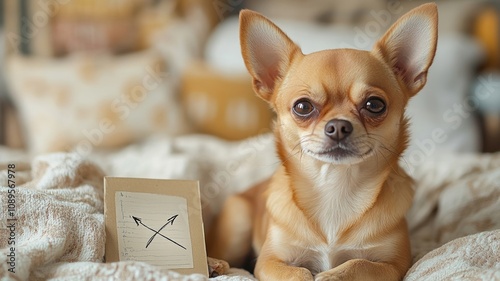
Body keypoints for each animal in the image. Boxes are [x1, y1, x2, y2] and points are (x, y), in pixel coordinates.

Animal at [207, 3, 438, 278]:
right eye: (303, 106)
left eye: (374, 105)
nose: (338, 126)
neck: (335, 187)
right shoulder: (269, 261)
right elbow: (297, 273)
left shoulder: (393, 265)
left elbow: (358, 264)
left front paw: (332, 275)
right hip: (238, 223)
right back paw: (212, 263)